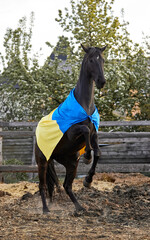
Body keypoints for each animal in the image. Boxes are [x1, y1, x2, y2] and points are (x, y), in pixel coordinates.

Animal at [34, 44, 106, 213]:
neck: (85, 106)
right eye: (91, 60)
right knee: (42, 185)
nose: (101, 81)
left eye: (103, 60)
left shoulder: (95, 134)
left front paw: (88, 180)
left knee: (67, 186)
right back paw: (45, 209)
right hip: (42, 161)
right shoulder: (73, 133)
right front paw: (87, 156)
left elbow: (98, 152)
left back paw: (80, 208)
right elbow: (85, 132)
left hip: (71, 163)